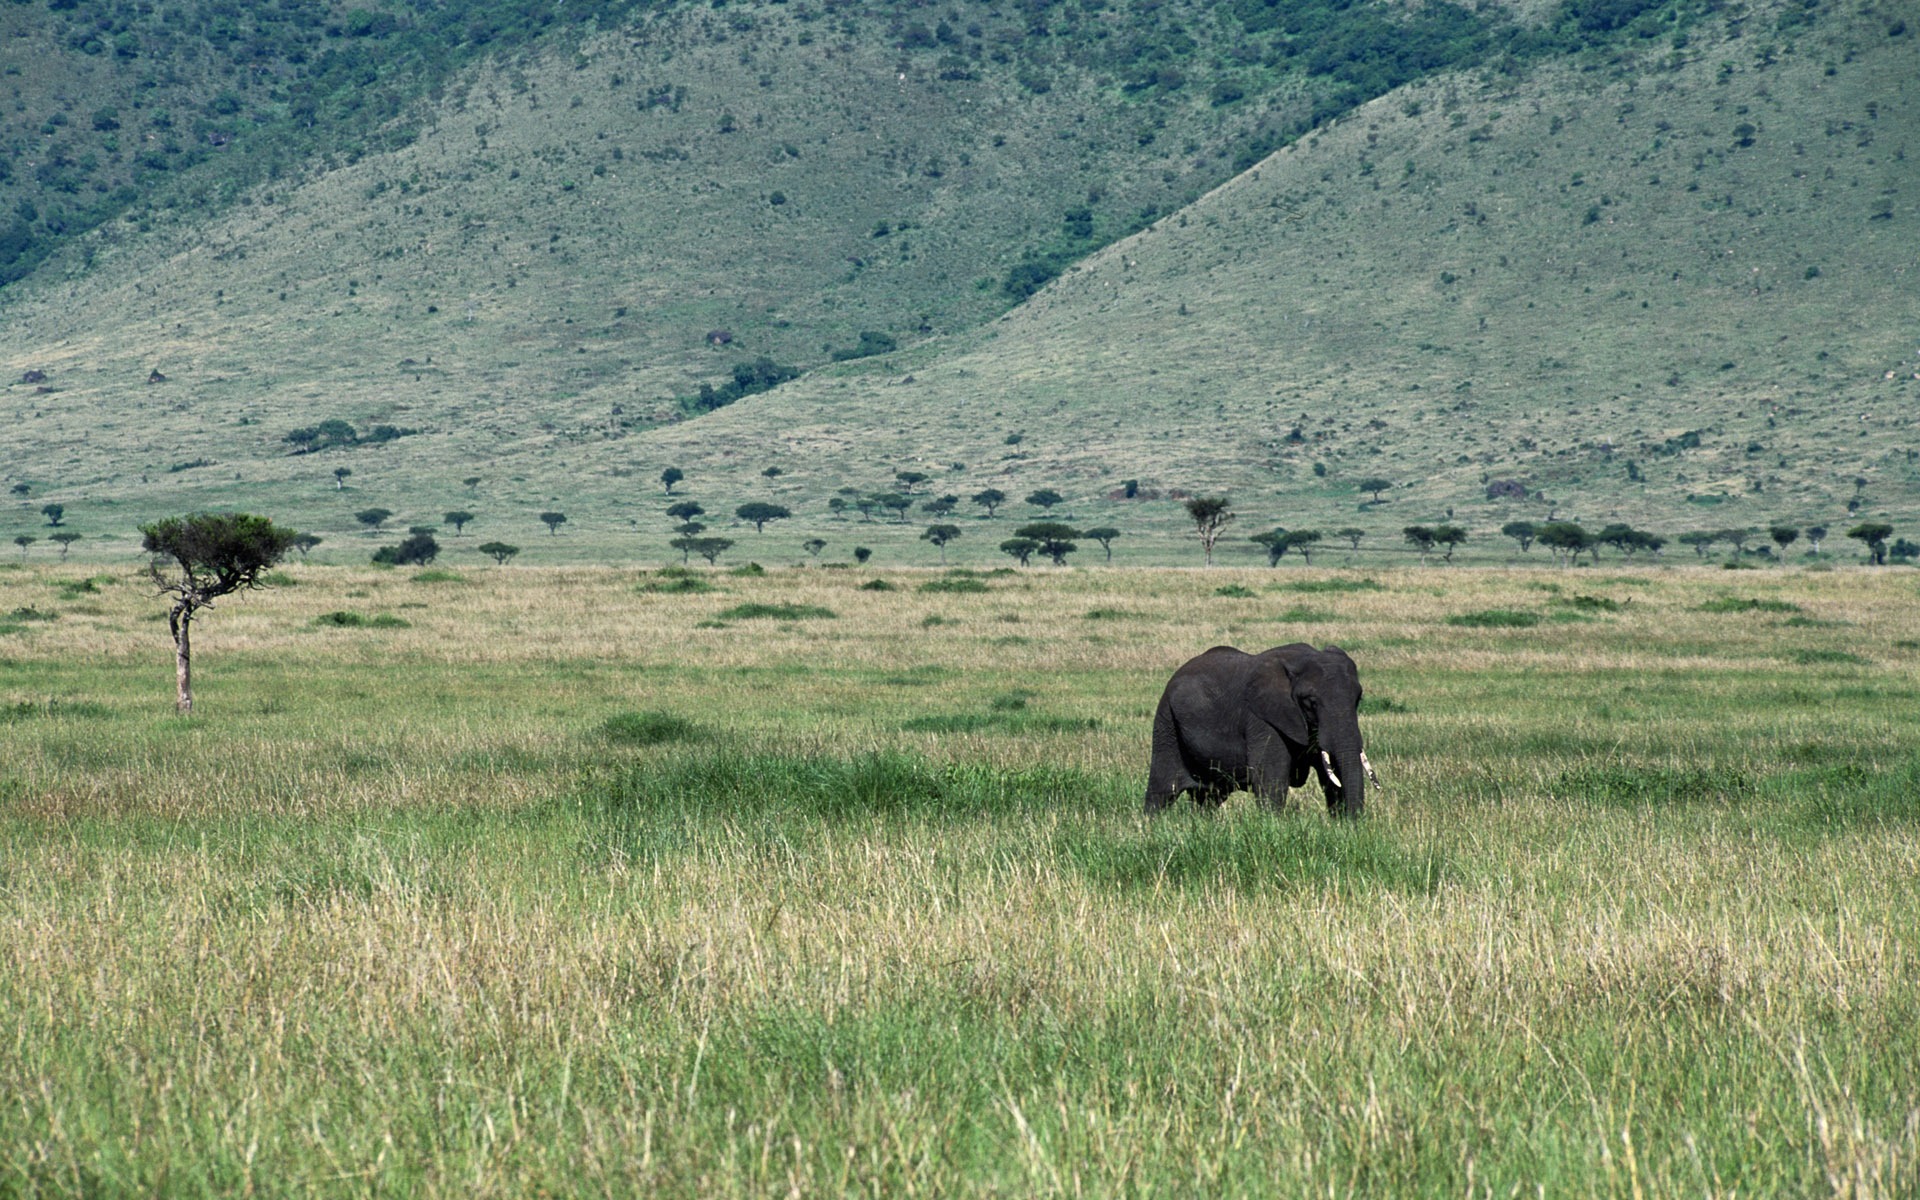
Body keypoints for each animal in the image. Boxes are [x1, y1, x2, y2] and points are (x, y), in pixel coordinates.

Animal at [1144, 645, 1374, 814]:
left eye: (1358, 699)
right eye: (1311, 702)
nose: (1355, 825)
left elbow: (1331, 776)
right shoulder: (1262, 719)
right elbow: (1271, 778)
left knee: (1208, 798)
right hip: (1166, 722)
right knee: (1162, 789)